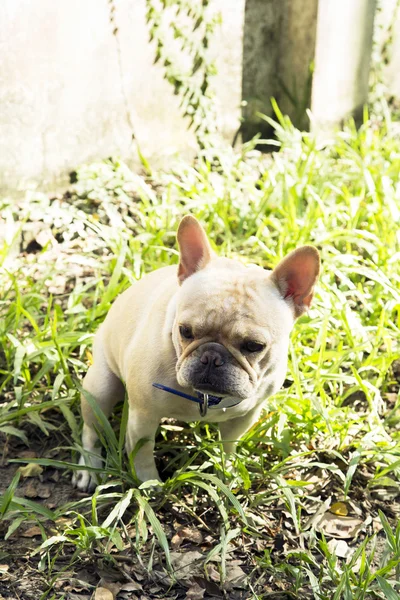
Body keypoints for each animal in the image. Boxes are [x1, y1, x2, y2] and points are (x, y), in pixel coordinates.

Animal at [73, 213, 320, 490]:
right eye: (185, 331)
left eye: (254, 346)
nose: (212, 357)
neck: (204, 397)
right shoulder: (142, 417)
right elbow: (143, 453)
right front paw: (149, 483)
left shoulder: (245, 416)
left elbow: (229, 445)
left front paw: (227, 473)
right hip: (101, 388)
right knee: (92, 430)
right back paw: (89, 469)